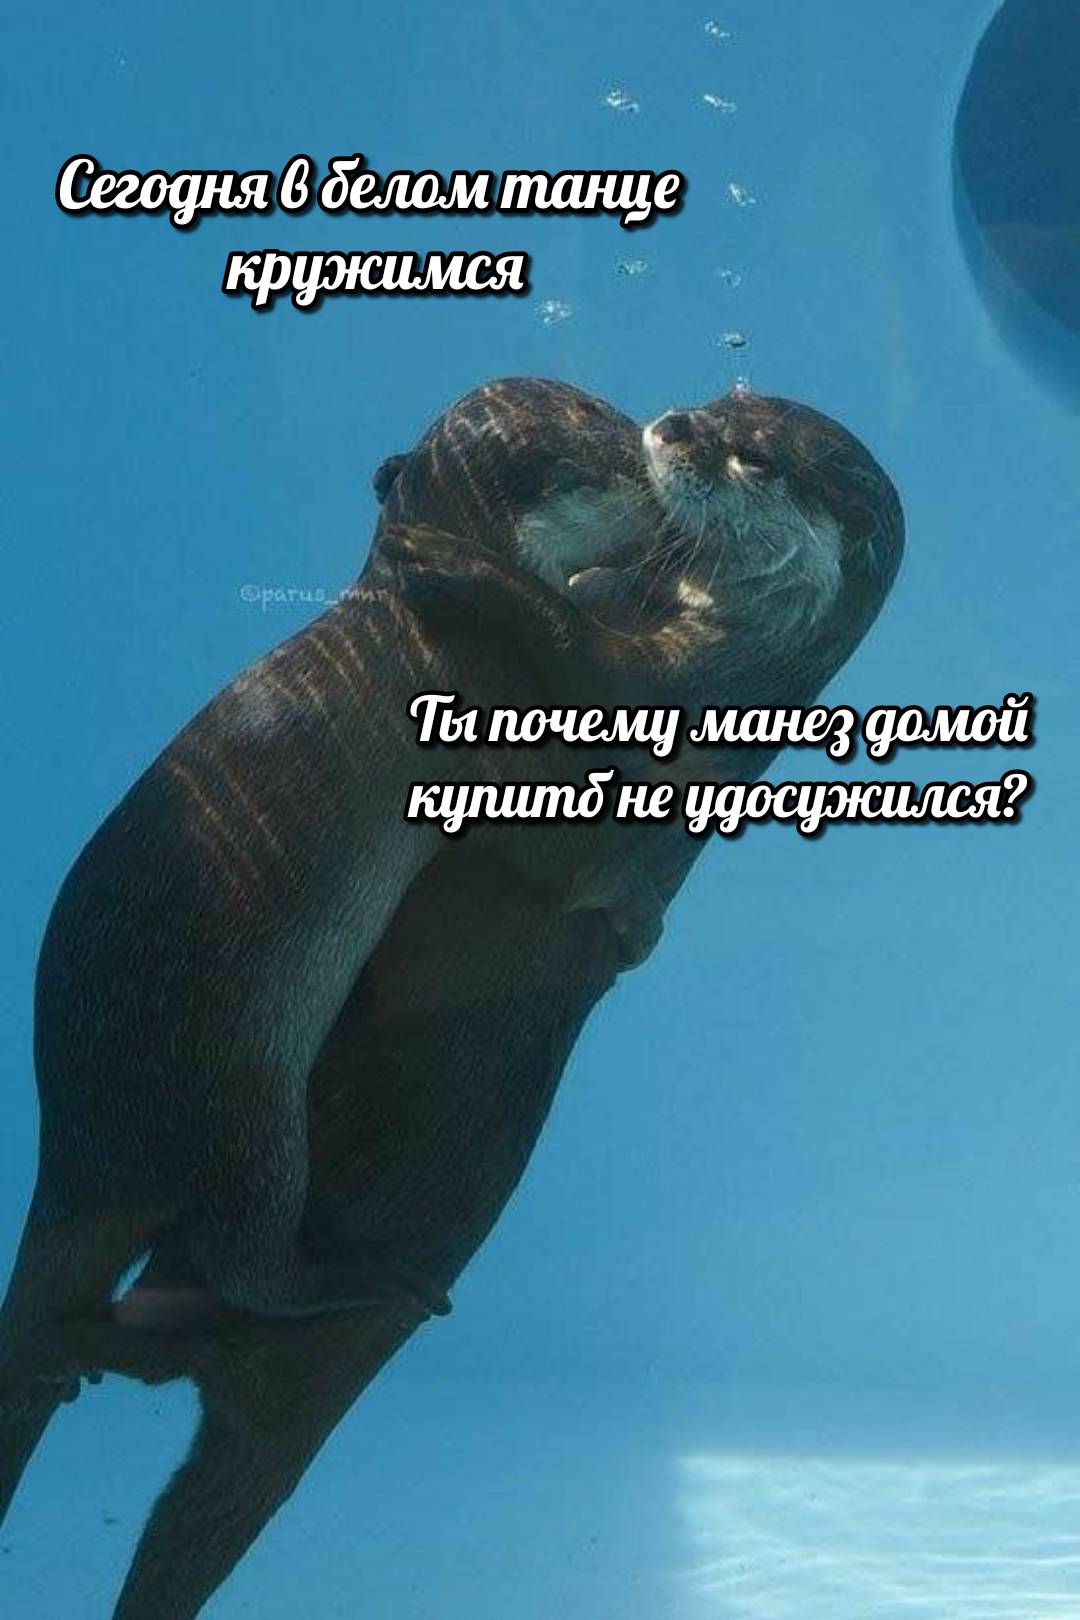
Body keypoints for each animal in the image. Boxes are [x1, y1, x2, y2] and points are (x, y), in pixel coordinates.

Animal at [1, 378, 903, 1619]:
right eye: (723, 407)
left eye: (752, 458)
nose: (666, 429)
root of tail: (85, 1143)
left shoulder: (630, 703)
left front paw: (451, 563)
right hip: (233, 1108)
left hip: (240, 1112)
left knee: (238, 1271)